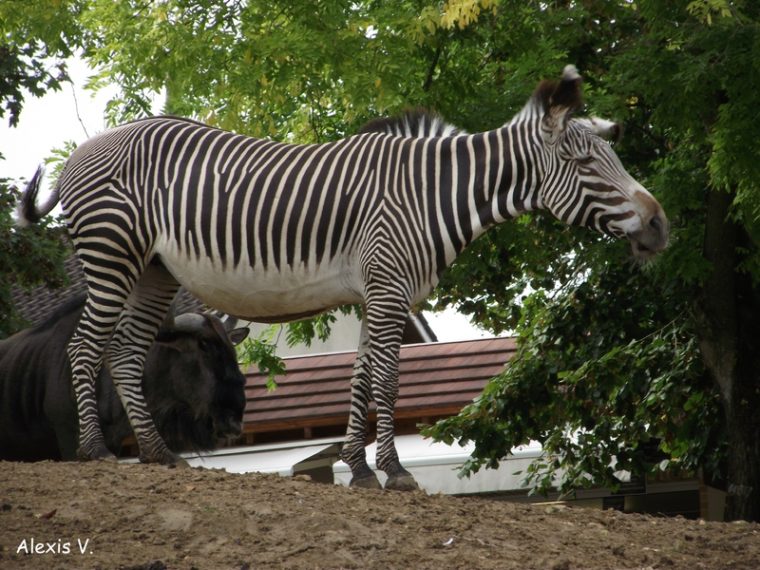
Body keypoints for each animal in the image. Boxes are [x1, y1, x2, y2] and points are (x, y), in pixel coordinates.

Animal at [19, 65, 664, 488]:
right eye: (584, 164)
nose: (660, 226)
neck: (431, 195)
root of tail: (79, 152)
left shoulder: (377, 291)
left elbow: (360, 379)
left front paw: (359, 469)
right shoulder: (388, 286)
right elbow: (387, 381)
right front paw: (395, 473)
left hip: (152, 269)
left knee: (126, 352)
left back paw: (158, 455)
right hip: (111, 253)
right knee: (86, 347)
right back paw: (96, 452)